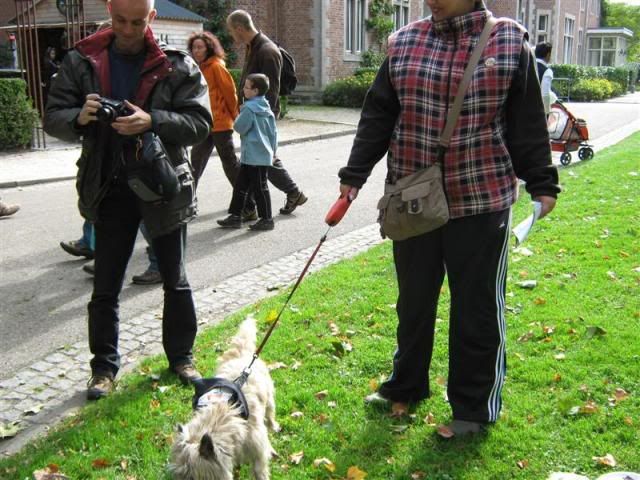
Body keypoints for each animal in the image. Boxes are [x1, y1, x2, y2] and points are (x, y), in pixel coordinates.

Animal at [170, 316, 280, 478]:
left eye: (192, 477)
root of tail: (242, 355)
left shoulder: (257, 450)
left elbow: (259, 469)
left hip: (269, 397)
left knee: (270, 414)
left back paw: (273, 428)